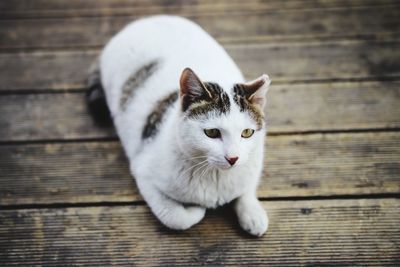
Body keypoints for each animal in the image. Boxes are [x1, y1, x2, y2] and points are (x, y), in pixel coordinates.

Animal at [87, 15, 268, 237]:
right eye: (212, 132)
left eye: (247, 132)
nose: (233, 158)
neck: (215, 177)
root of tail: (145, 19)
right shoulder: (144, 174)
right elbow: (177, 218)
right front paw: (197, 209)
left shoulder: (252, 165)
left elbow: (246, 188)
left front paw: (253, 214)